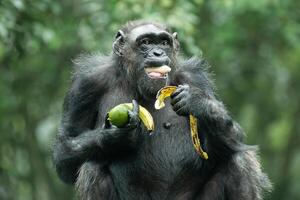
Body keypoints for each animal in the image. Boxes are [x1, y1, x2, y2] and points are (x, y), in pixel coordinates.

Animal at [53, 21, 272, 199]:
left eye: (164, 43)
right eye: (146, 42)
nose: (158, 53)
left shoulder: (196, 78)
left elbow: (229, 143)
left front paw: (198, 102)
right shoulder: (86, 83)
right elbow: (65, 150)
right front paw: (117, 136)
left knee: (239, 161)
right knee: (92, 167)